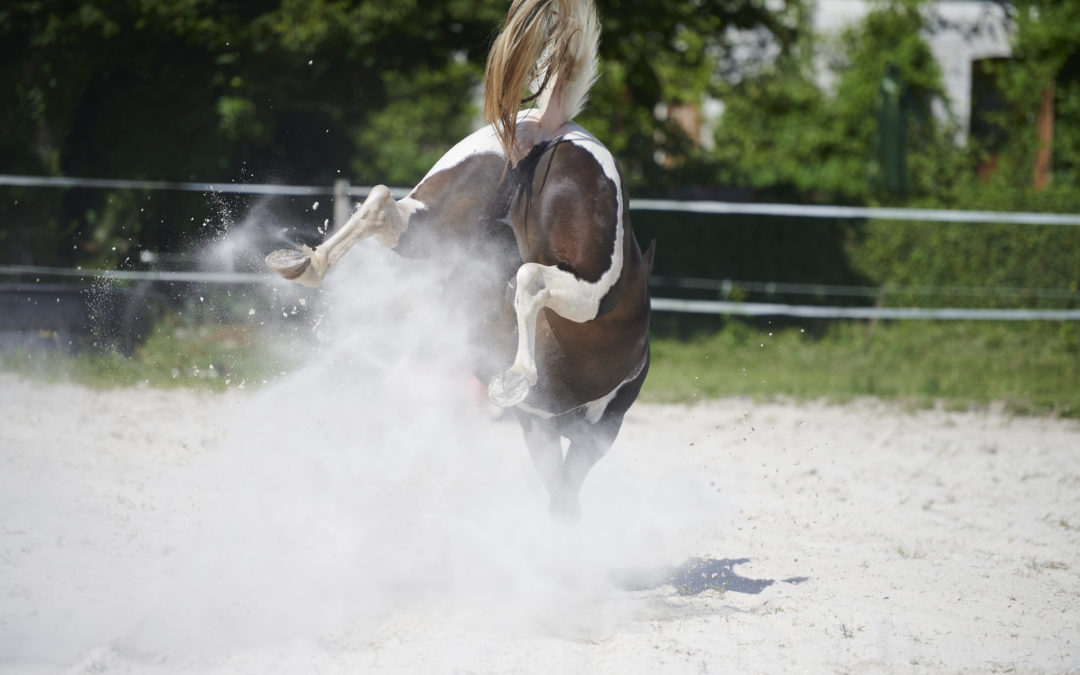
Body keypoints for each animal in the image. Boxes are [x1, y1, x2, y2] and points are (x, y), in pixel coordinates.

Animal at [265, 0, 652, 516]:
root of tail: (556, 127)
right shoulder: (586, 433)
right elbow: (563, 496)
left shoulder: (544, 430)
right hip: (589, 290)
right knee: (530, 279)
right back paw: (517, 376)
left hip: (436, 223)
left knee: (380, 205)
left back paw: (305, 264)